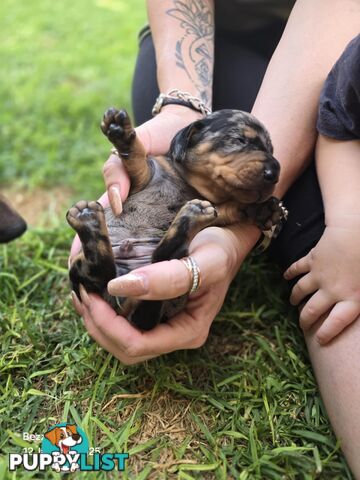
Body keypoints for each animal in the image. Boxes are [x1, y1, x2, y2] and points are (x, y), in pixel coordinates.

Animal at [67, 109, 286, 330]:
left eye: (271, 149)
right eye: (240, 140)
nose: (275, 173)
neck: (191, 184)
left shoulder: (216, 209)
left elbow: (233, 206)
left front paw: (265, 209)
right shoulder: (148, 172)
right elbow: (137, 157)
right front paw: (120, 131)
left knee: (156, 261)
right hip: (78, 274)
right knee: (101, 273)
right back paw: (88, 221)